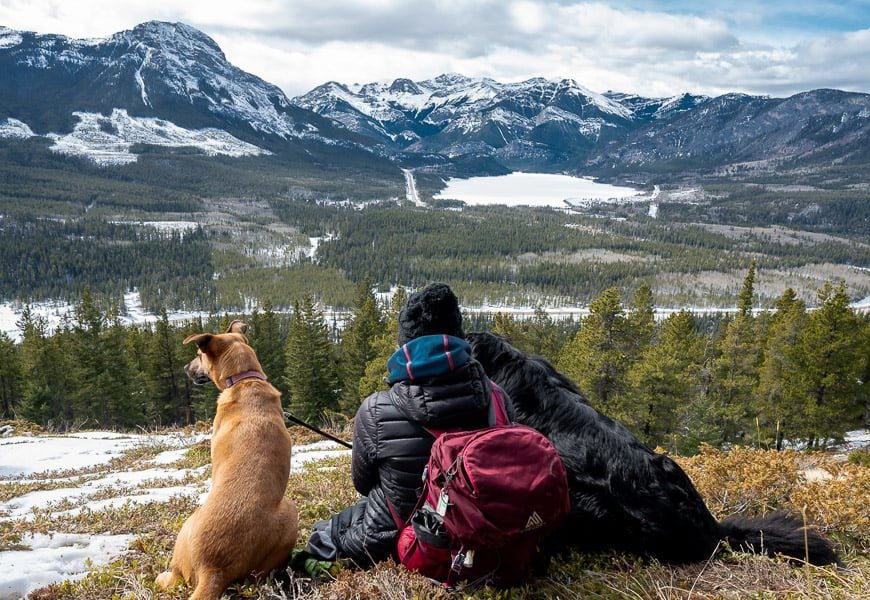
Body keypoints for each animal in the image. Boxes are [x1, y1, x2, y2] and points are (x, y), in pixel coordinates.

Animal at [158, 322, 302, 596]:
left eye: (199, 354)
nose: (185, 368)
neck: (246, 379)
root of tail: (213, 569)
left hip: (289, 511)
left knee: (174, 577)